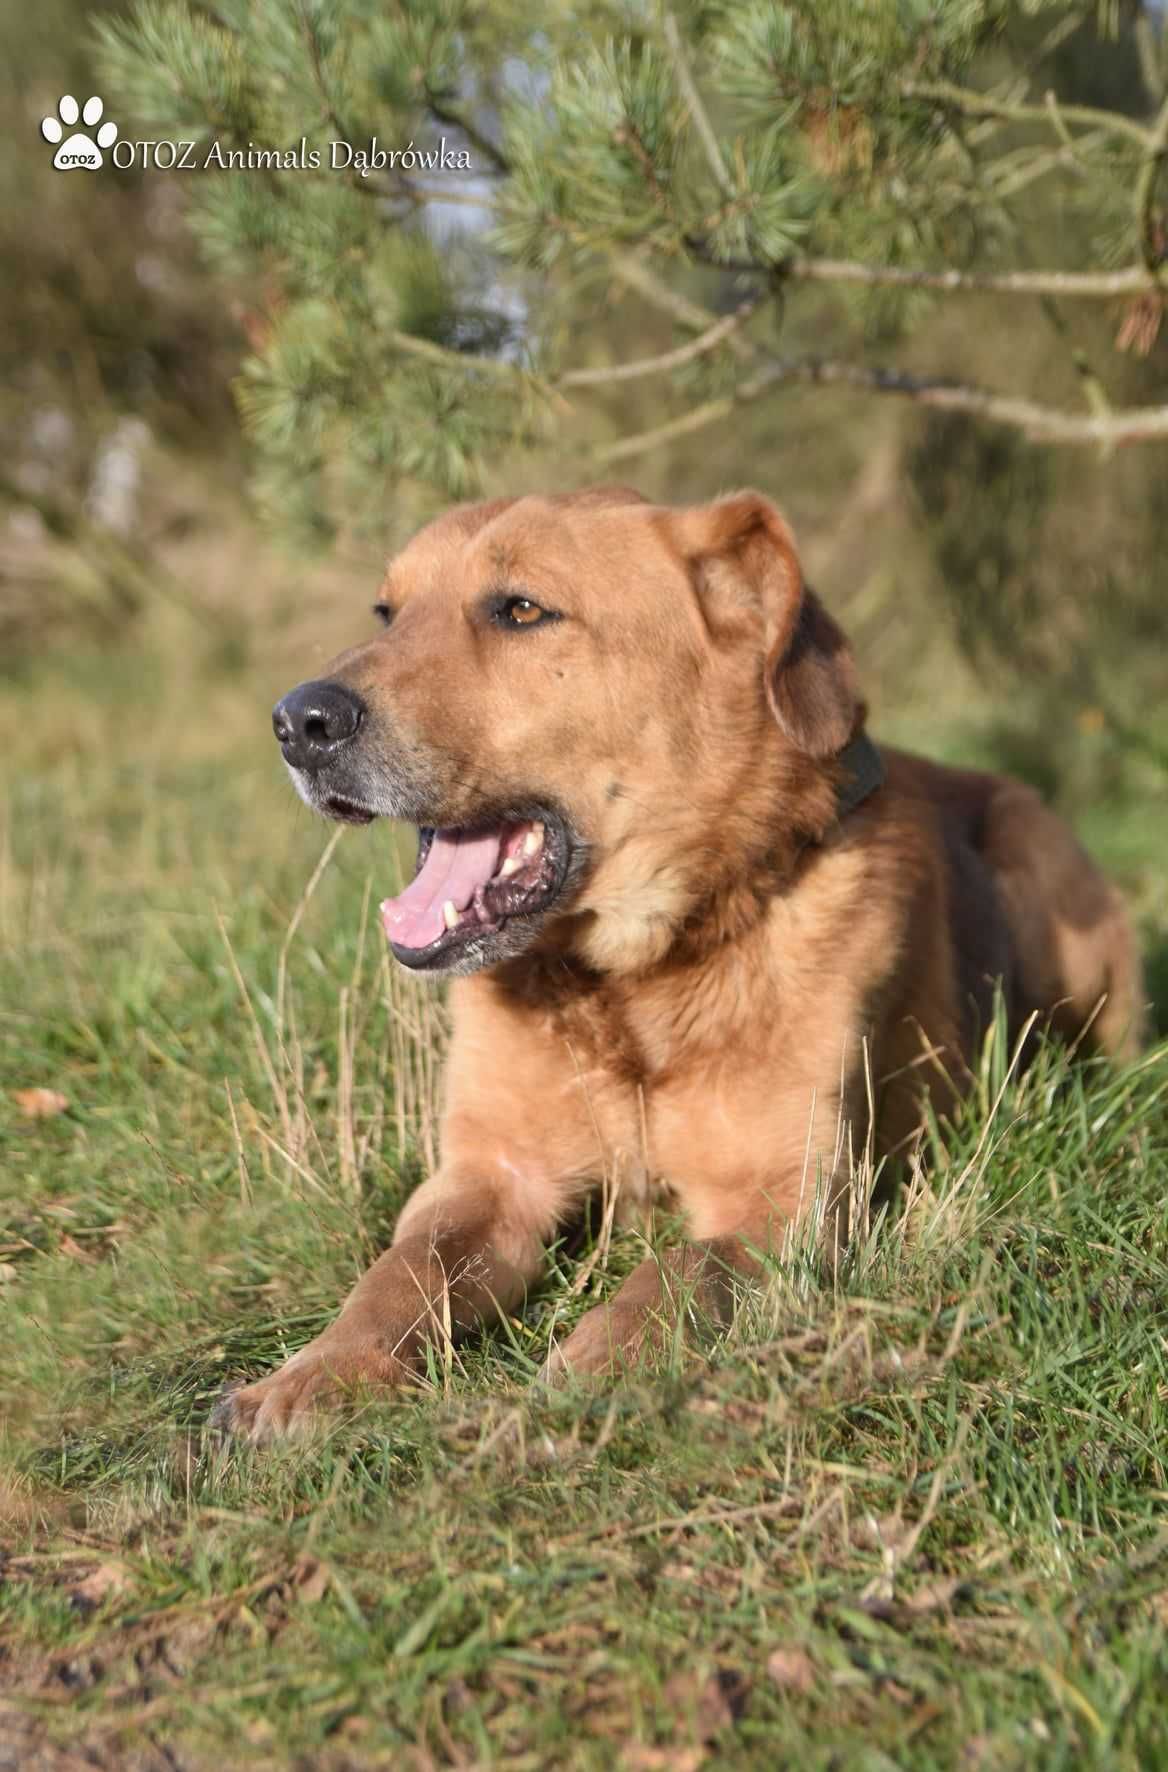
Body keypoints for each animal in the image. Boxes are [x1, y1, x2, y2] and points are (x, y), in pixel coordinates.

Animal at [224, 485, 1148, 1438]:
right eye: (387, 612)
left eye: (522, 609)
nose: (298, 722)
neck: (634, 981)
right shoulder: (488, 1173)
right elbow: (399, 1272)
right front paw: (317, 1372)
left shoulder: (788, 1197)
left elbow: (676, 1273)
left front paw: (595, 1367)